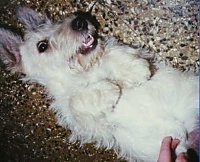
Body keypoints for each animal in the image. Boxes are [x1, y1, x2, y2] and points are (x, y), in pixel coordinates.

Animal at [0, 6, 198, 162]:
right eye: (42, 46)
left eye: (58, 23)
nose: (79, 22)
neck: (82, 73)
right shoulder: (87, 124)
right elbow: (74, 102)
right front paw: (108, 89)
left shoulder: (108, 51)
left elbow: (111, 54)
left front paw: (135, 70)